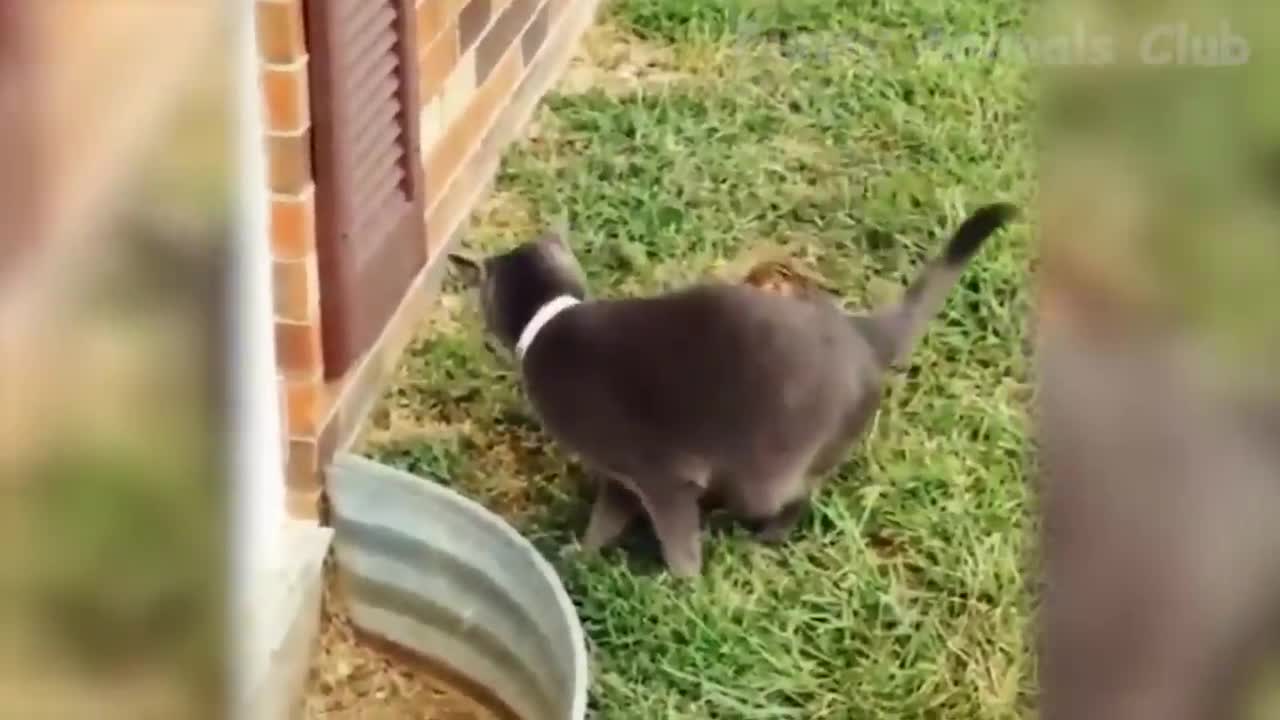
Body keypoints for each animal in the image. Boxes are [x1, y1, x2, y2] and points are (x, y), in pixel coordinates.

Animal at [450, 203, 1018, 576]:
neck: (549, 320)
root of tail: (860, 330)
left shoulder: (659, 475)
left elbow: (676, 538)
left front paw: (676, 586)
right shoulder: (620, 475)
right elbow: (605, 521)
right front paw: (579, 555)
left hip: (767, 473)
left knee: (798, 497)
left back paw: (761, 539)